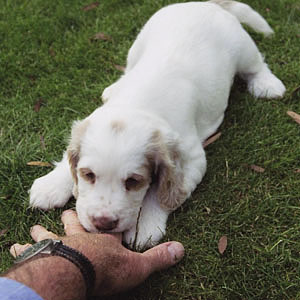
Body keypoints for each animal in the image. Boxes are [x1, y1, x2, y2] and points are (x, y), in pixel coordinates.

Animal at [30, 0, 286, 248]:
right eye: (88, 175)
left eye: (133, 181)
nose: (103, 223)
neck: (136, 105)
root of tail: (206, 3)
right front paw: (50, 186)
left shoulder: (193, 158)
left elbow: (160, 192)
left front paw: (144, 227)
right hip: (137, 46)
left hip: (243, 49)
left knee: (257, 65)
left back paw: (268, 84)